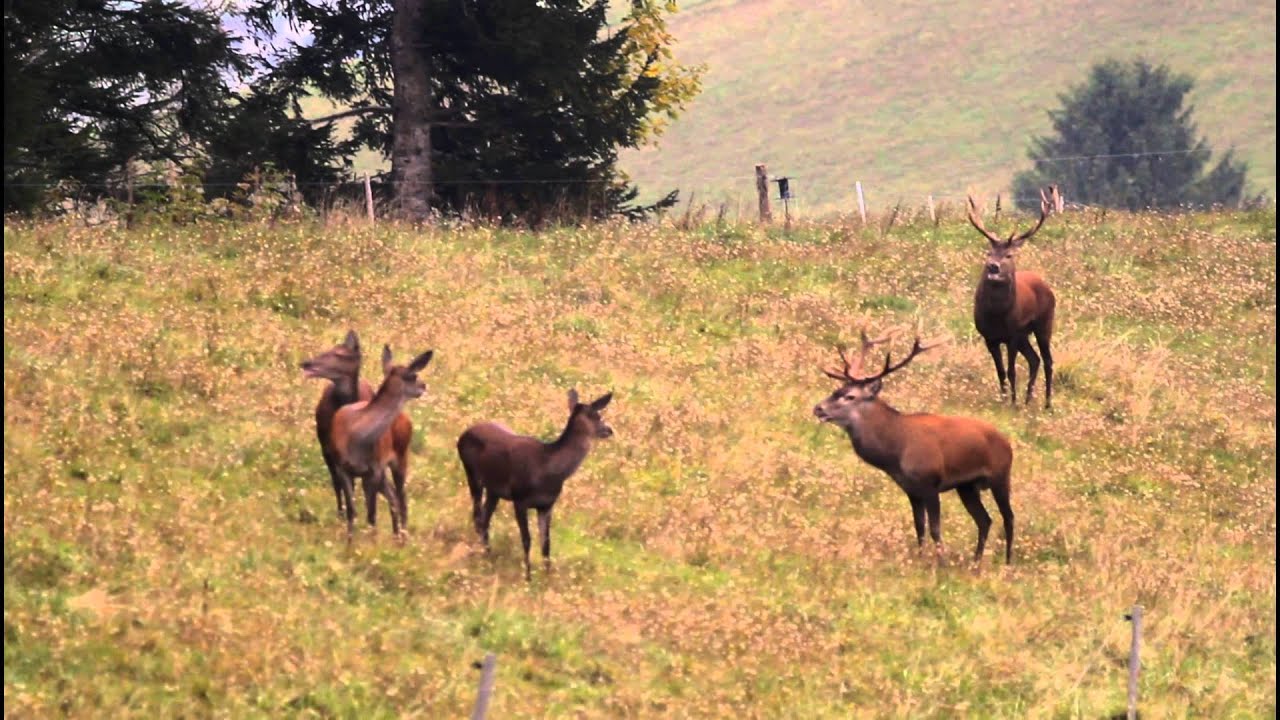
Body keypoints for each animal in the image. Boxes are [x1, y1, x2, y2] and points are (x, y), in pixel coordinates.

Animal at [300, 331, 415, 528]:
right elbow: (341, 486)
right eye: (329, 349)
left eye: (340, 354)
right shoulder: (329, 451)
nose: (307, 363)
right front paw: (343, 516)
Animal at [328, 346, 434, 539]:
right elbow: (352, 511)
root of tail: (404, 417)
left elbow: (371, 514)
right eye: (413, 375)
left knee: (401, 499)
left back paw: (403, 538)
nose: (424, 386)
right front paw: (349, 541)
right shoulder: (342, 467)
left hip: (400, 456)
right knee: (394, 497)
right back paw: (396, 535)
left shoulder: (375, 468)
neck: (356, 438)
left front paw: (371, 541)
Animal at [457, 390, 614, 580]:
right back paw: (483, 555)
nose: (609, 430)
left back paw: (489, 555)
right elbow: (527, 539)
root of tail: (462, 435)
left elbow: (546, 543)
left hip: (494, 489)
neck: (548, 471)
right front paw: (528, 576)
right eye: (596, 415)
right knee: (477, 516)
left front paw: (547, 576)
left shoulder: (547, 505)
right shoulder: (519, 499)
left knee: (485, 519)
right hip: (471, 473)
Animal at [812, 328, 1015, 564]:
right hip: (967, 486)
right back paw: (975, 562)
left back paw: (1007, 562)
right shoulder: (911, 489)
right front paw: (919, 559)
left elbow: (935, 528)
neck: (896, 452)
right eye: (836, 389)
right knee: (985, 519)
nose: (818, 408)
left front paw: (941, 563)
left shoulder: (931, 482)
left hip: (1000, 475)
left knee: (1008, 517)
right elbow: (919, 527)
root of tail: (1007, 443)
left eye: (850, 396)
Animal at [968, 188, 1058, 409]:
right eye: (989, 252)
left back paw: (1047, 403)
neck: (997, 316)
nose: (993, 266)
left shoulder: (1012, 335)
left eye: (1009, 255)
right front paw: (1003, 400)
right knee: (1035, 359)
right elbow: (1000, 372)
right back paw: (1028, 398)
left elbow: (1011, 371)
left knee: (1048, 360)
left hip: (1044, 323)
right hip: (1025, 335)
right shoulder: (989, 337)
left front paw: (1013, 403)